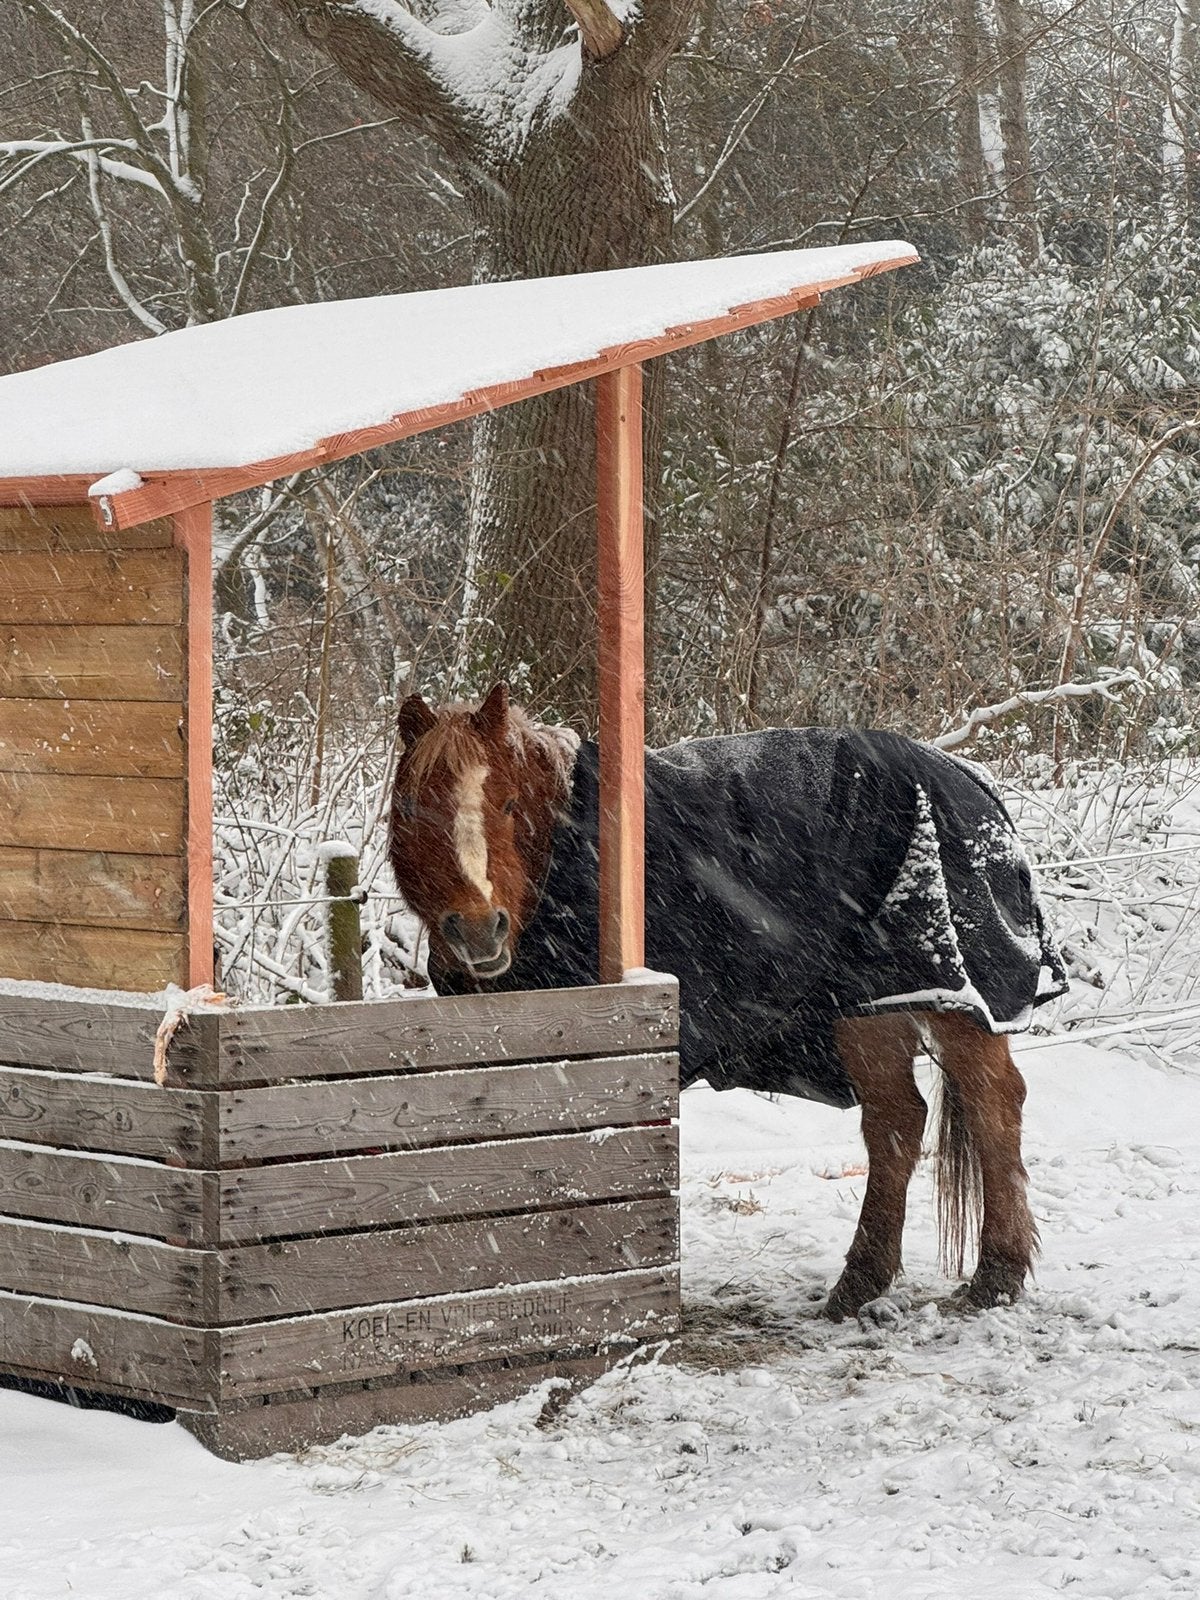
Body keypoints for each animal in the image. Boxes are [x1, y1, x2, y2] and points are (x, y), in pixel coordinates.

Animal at [387, 682, 1067, 1320]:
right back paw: (861, 1283)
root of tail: (972, 782)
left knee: (993, 1105)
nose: (479, 930)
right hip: (867, 1006)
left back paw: (996, 1276)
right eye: (415, 807)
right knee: (896, 1121)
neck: (566, 847)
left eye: (508, 803)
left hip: (949, 1001)